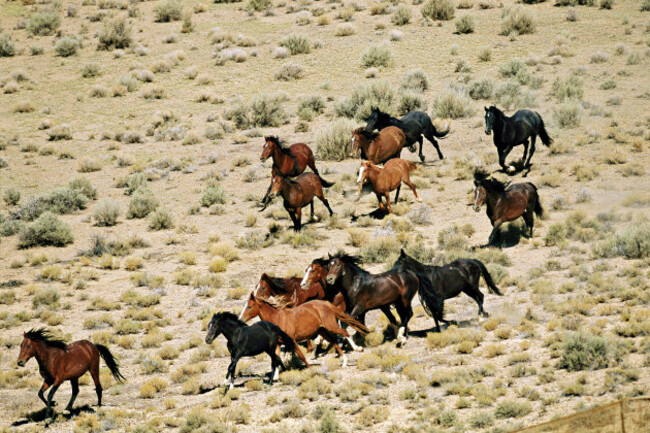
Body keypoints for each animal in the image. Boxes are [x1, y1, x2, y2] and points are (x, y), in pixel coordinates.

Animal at [240, 293, 368, 365]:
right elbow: (278, 358)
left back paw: (358, 348)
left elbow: (300, 355)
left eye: (249, 306)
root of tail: (325, 303)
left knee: (345, 333)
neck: (278, 318)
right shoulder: (279, 343)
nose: (241, 319)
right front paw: (276, 377)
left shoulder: (292, 340)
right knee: (334, 342)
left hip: (331, 325)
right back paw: (344, 361)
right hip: (322, 330)